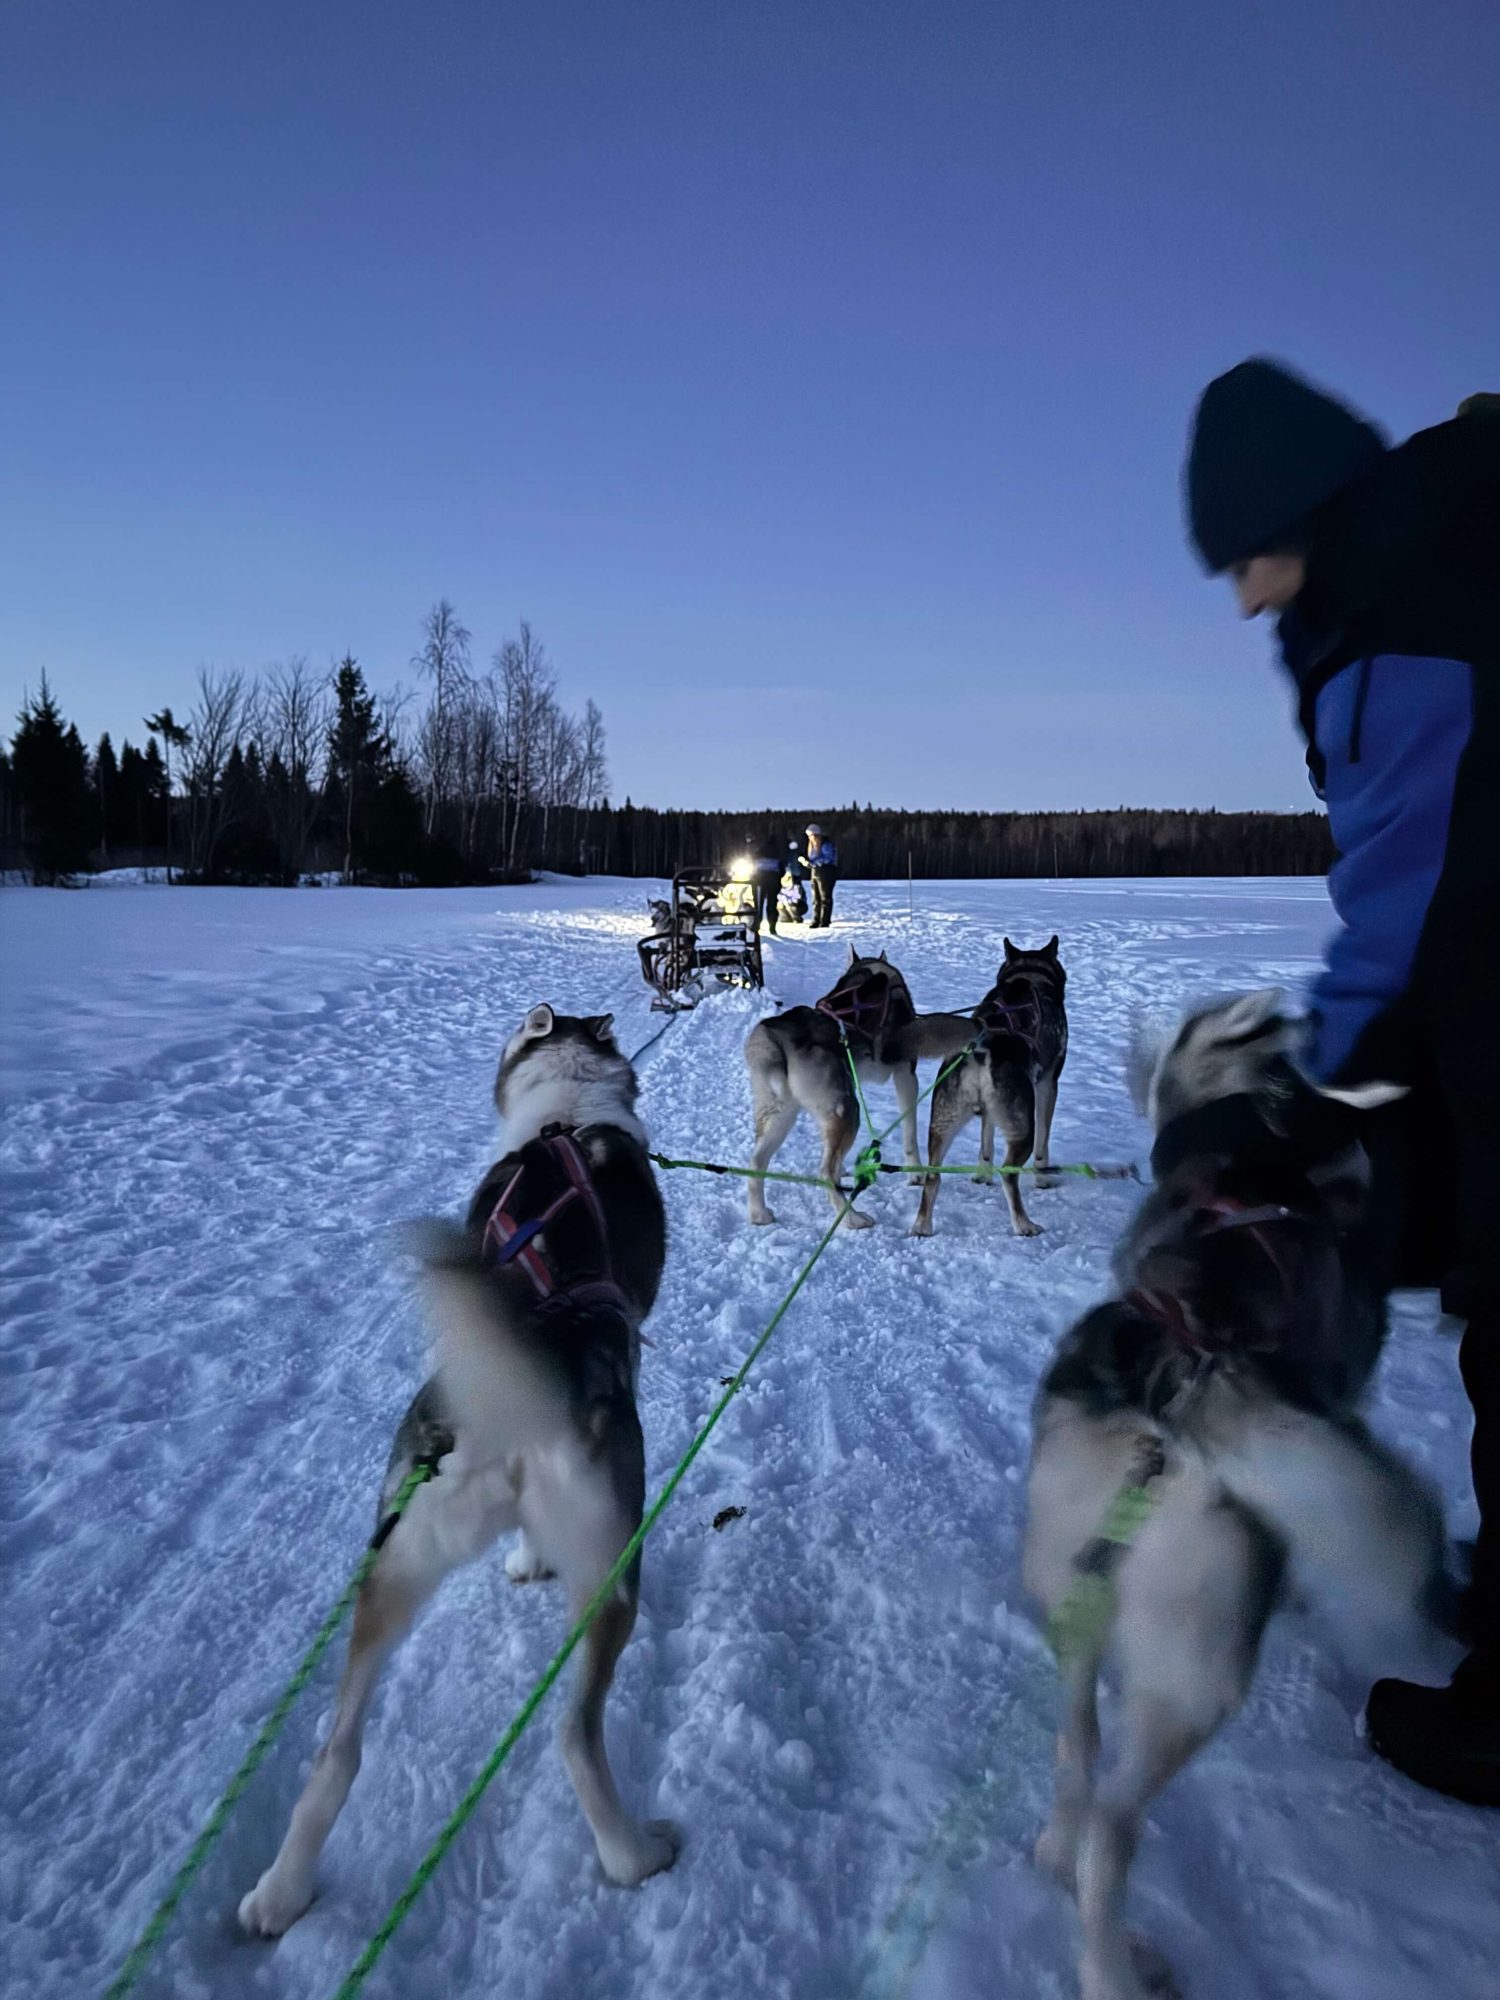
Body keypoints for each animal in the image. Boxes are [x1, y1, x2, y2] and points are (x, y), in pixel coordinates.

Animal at [238, 1005, 678, 1939]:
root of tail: (496, 1413)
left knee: (336, 1753)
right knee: (572, 1737)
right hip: (612, 1572)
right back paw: (634, 1853)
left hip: (390, 1572)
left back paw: (280, 1894)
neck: (565, 1118)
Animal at [743, 949, 972, 1230]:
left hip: (781, 1117)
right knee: (825, 1172)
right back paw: (853, 1218)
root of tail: (777, 1036)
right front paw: (916, 1173)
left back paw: (759, 1215)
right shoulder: (905, 1073)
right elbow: (909, 1131)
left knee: (757, 1163)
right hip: (848, 1111)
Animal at [911, 935, 1068, 1238]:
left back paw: (922, 1226)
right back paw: (1024, 1225)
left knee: (933, 1176)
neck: (1029, 973)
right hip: (1023, 1128)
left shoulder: (989, 1112)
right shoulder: (1047, 1085)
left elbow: (986, 1144)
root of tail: (981, 1044)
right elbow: (1043, 1145)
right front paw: (1043, 1178)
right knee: (1009, 1173)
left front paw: (982, 1175)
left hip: (942, 1124)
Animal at [1022, 991, 1447, 2000]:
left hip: (1076, 1603)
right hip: (1200, 1681)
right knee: (1113, 1827)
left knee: (1075, 1754)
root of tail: (1177, 1379)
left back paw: (1057, 1851)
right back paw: (1114, 1965)